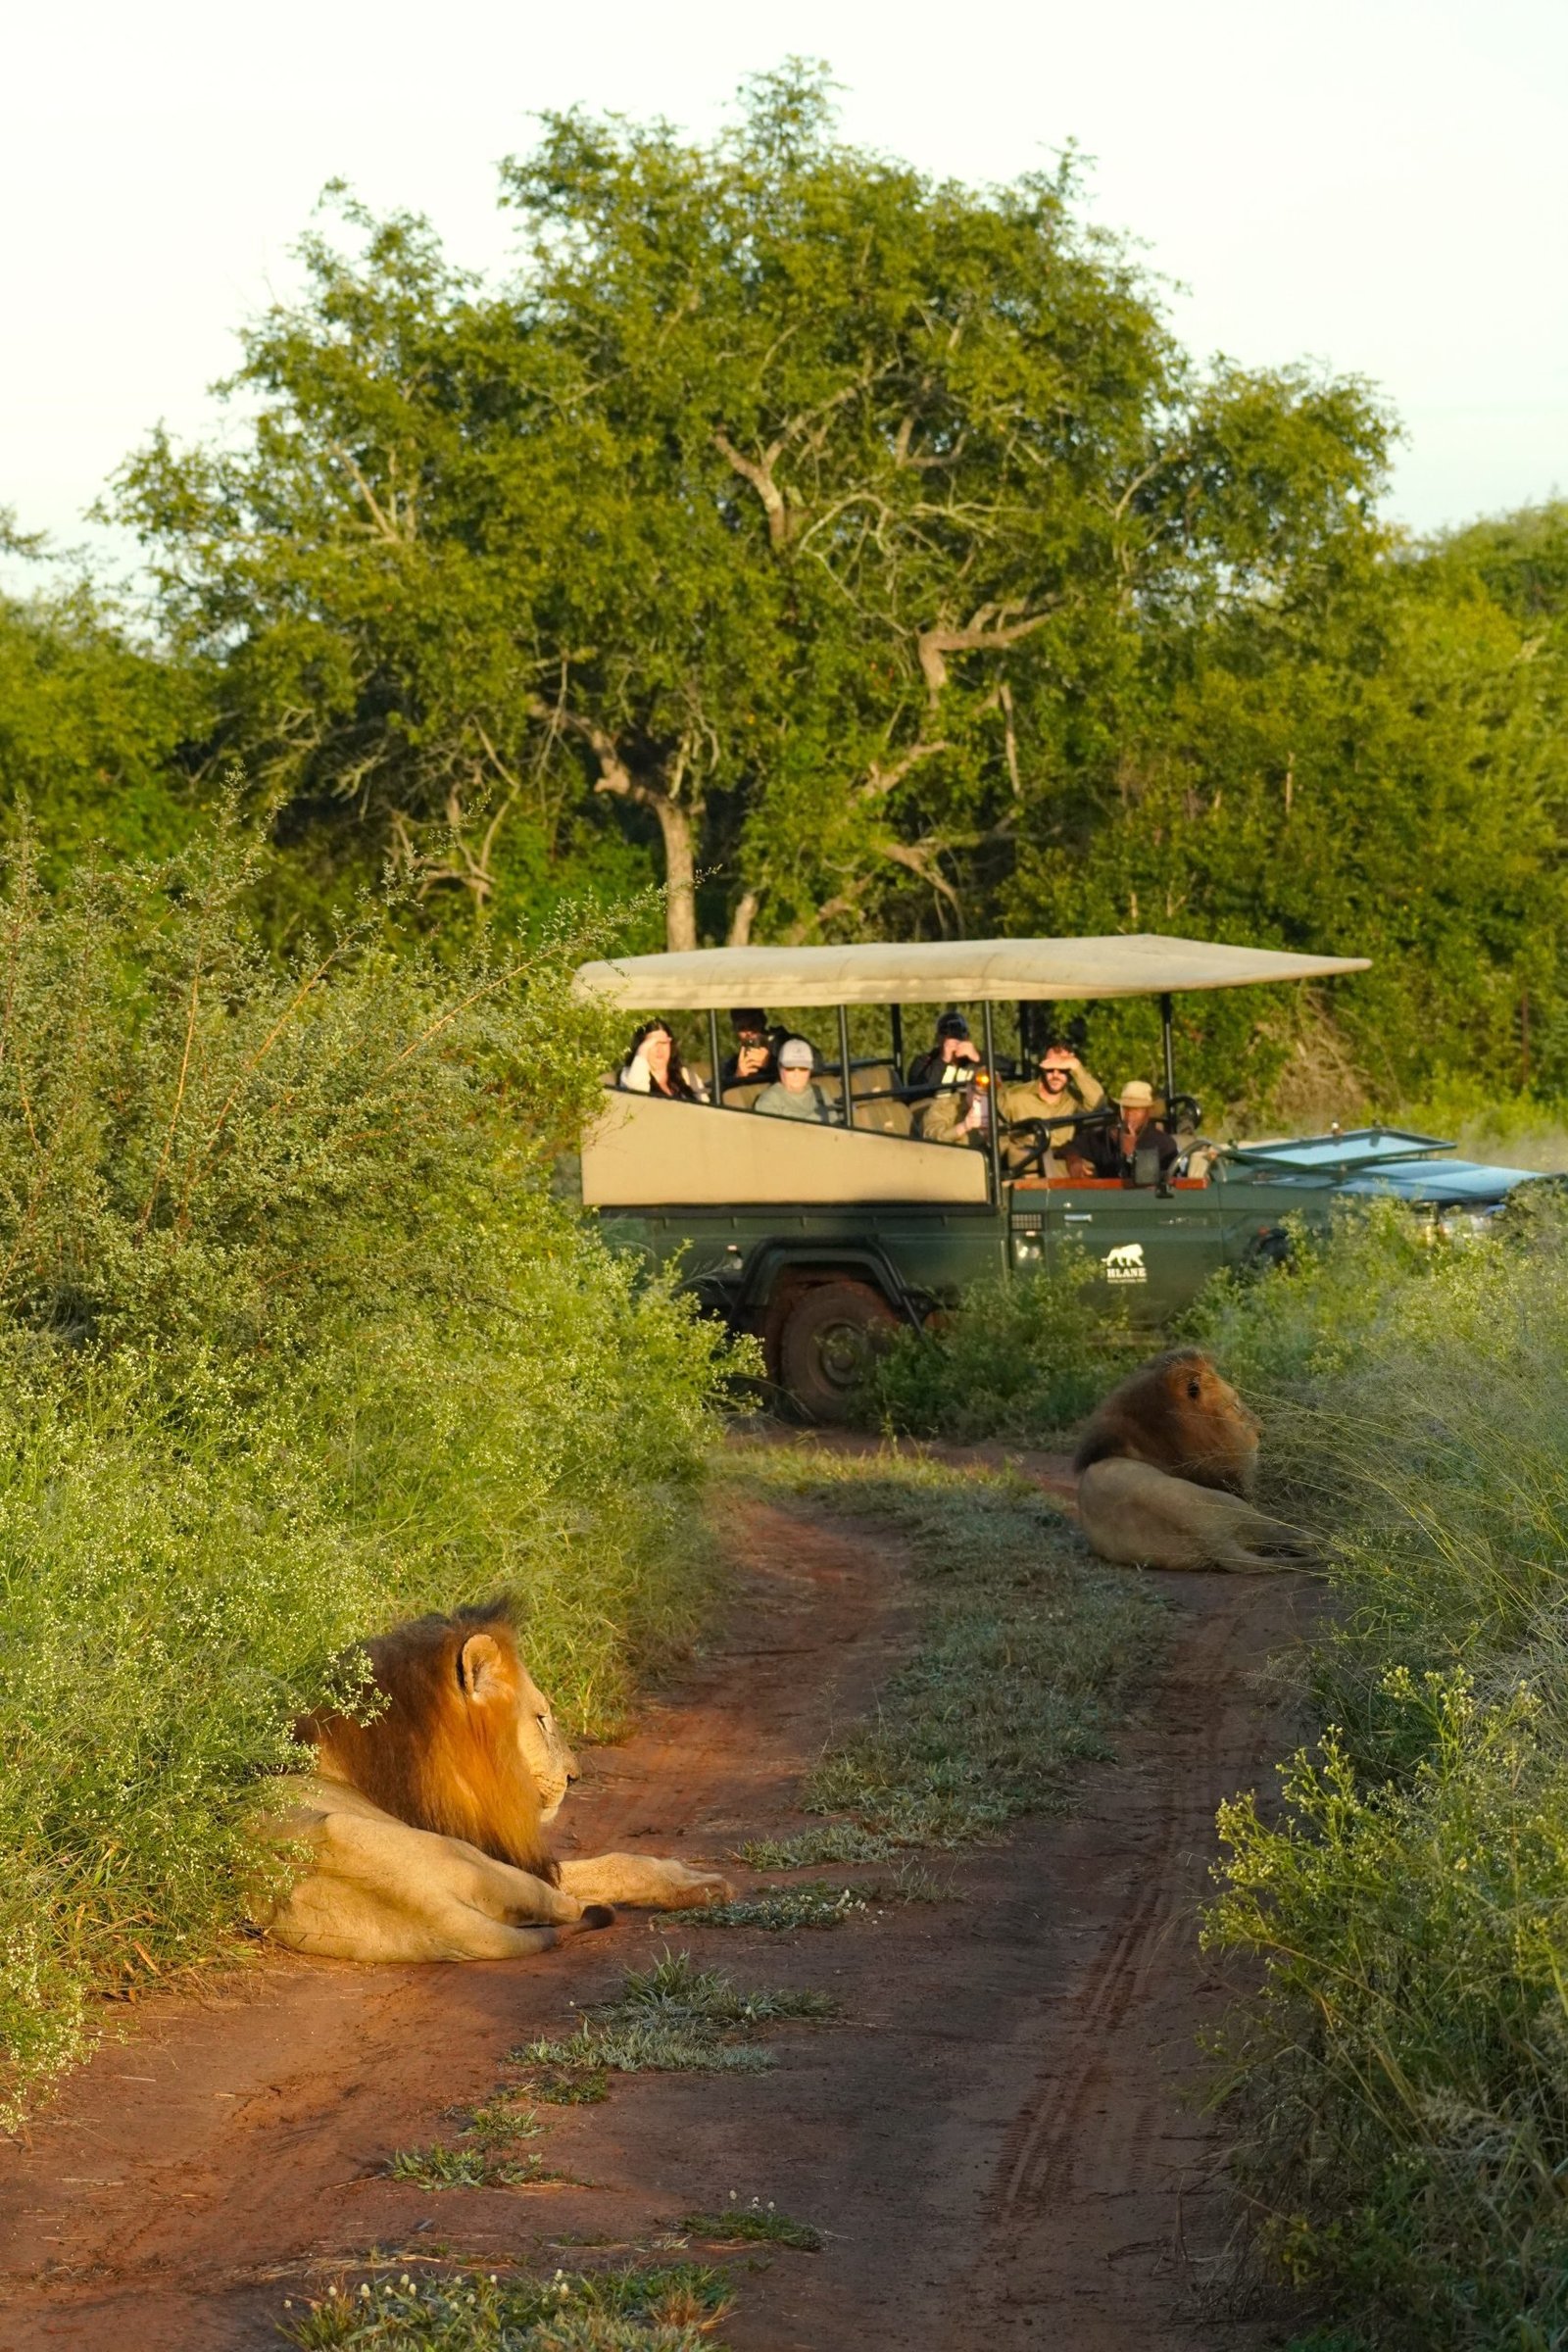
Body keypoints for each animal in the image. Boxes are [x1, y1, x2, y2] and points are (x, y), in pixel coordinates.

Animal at [262, 1599, 738, 1966]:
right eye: (541, 1719)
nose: (575, 1776)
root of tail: (440, 1918)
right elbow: (613, 1864)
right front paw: (697, 1881)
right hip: (480, 1863)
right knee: (572, 1905)